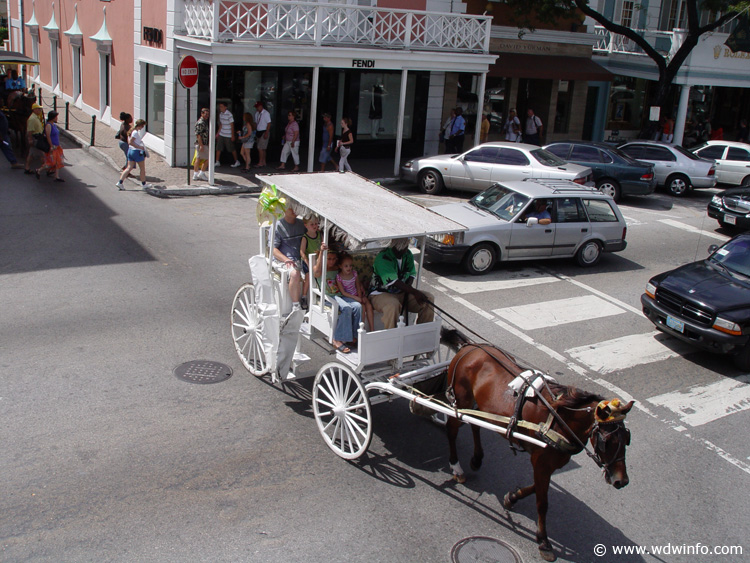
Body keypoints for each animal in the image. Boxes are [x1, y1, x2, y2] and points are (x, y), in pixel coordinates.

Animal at [444, 328, 636, 560]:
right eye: (606, 440)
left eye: (627, 438)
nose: (621, 480)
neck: (559, 419)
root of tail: (470, 347)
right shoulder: (542, 462)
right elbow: (542, 502)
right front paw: (544, 541)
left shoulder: (550, 462)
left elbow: (536, 488)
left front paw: (512, 497)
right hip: (460, 398)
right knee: (452, 429)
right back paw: (456, 466)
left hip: (480, 405)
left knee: (474, 424)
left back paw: (477, 458)